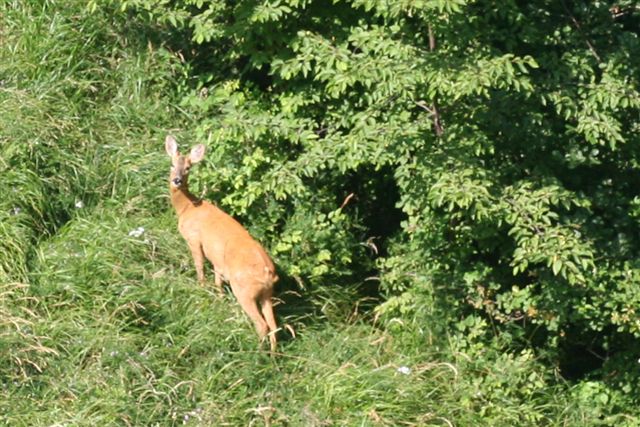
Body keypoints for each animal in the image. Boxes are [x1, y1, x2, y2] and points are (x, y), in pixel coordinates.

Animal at [165, 136, 278, 352]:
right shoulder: (218, 261)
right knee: (274, 325)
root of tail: (269, 273)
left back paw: (257, 352)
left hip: (244, 290)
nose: (177, 180)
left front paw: (201, 288)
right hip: (266, 293)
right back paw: (275, 356)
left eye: (188, 168)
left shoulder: (194, 239)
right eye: (172, 164)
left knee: (262, 324)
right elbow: (217, 282)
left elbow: (199, 267)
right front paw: (218, 299)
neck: (187, 208)